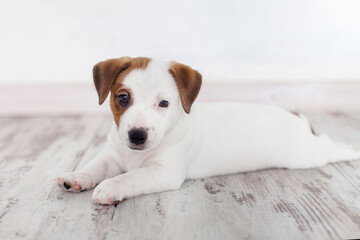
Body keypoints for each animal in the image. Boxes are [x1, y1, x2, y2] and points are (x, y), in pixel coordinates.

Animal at [56, 56, 360, 204]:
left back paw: (350, 149)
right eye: (122, 98)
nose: (137, 135)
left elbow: (130, 177)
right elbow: (94, 165)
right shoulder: (111, 155)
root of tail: (296, 117)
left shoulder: (165, 172)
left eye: (163, 103)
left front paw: (111, 186)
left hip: (306, 155)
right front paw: (76, 176)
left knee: (328, 145)